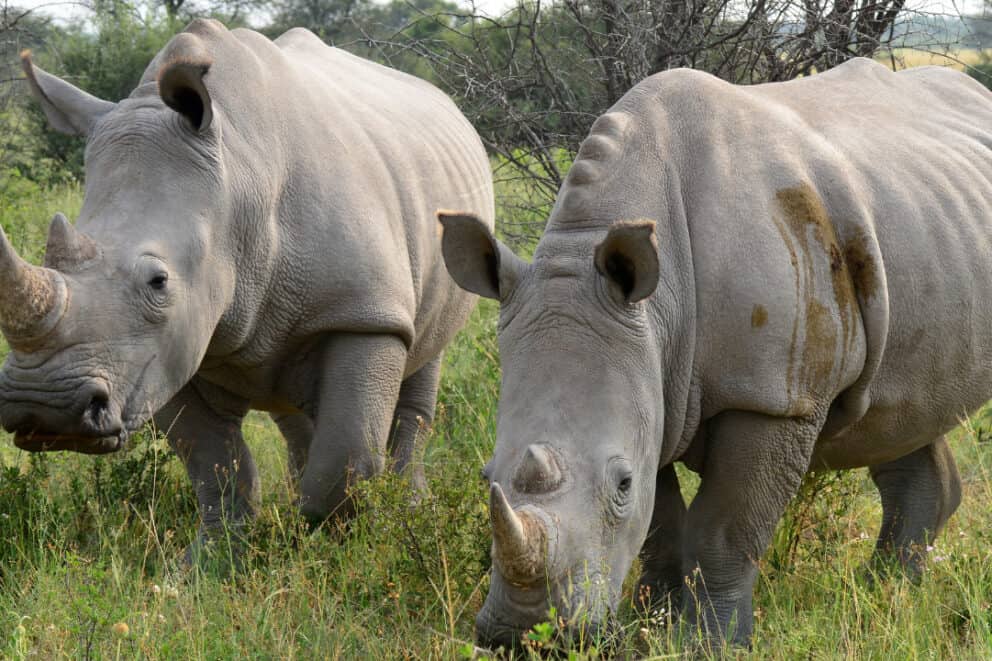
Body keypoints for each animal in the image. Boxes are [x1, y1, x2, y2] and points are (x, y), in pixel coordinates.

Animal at [2, 20, 493, 555]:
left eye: (158, 281)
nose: (43, 409)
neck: (238, 189)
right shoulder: (164, 352)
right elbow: (214, 461)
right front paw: (212, 560)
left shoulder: (364, 313)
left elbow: (346, 456)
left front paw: (326, 549)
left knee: (423, 366)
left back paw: (410, 509)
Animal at [440, 57, 990, 648]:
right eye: (485, 476)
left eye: (620, 484)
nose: (523, 636)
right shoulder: (650, 378)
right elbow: (661, 522)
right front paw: (650, 623)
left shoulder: (772, 397)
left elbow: (724, 527)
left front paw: (709, 642)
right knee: (899, 416)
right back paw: (886, 595)